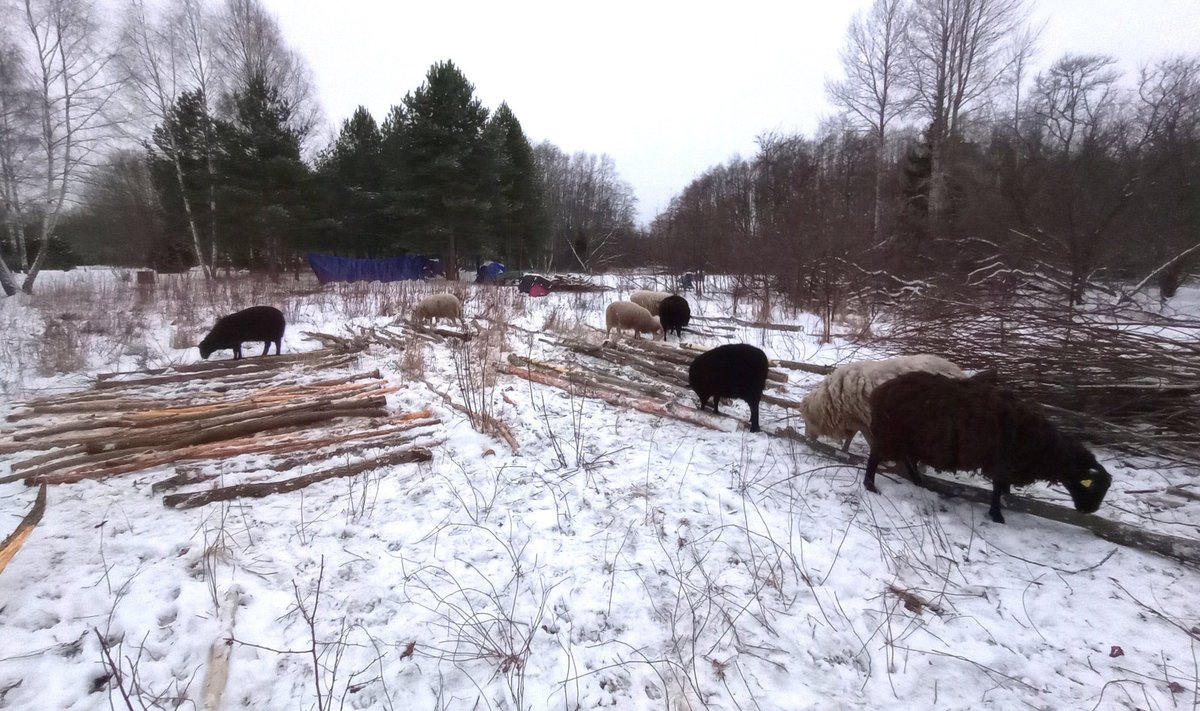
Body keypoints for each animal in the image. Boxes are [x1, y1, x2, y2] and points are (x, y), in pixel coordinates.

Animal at [796, 353, 964, 449]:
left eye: (806, 420)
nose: (807, 438)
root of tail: (959, 373)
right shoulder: (856, 419)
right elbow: (852, 437)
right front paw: (844, 450)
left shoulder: (863, 419)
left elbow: (867, 439)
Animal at [864, 369, 1113, 526]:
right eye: (1093, 486)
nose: (1089, 510)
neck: (1045, 448)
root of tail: (879, 391)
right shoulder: (1001, 462)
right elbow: (996, 488)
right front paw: (997, 515)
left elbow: (1002, 487)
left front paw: (1006, 500)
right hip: (891, 433)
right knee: (875, 458)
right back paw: (871, 486)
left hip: (909, 439)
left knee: (907, 460)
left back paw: (918, 481)